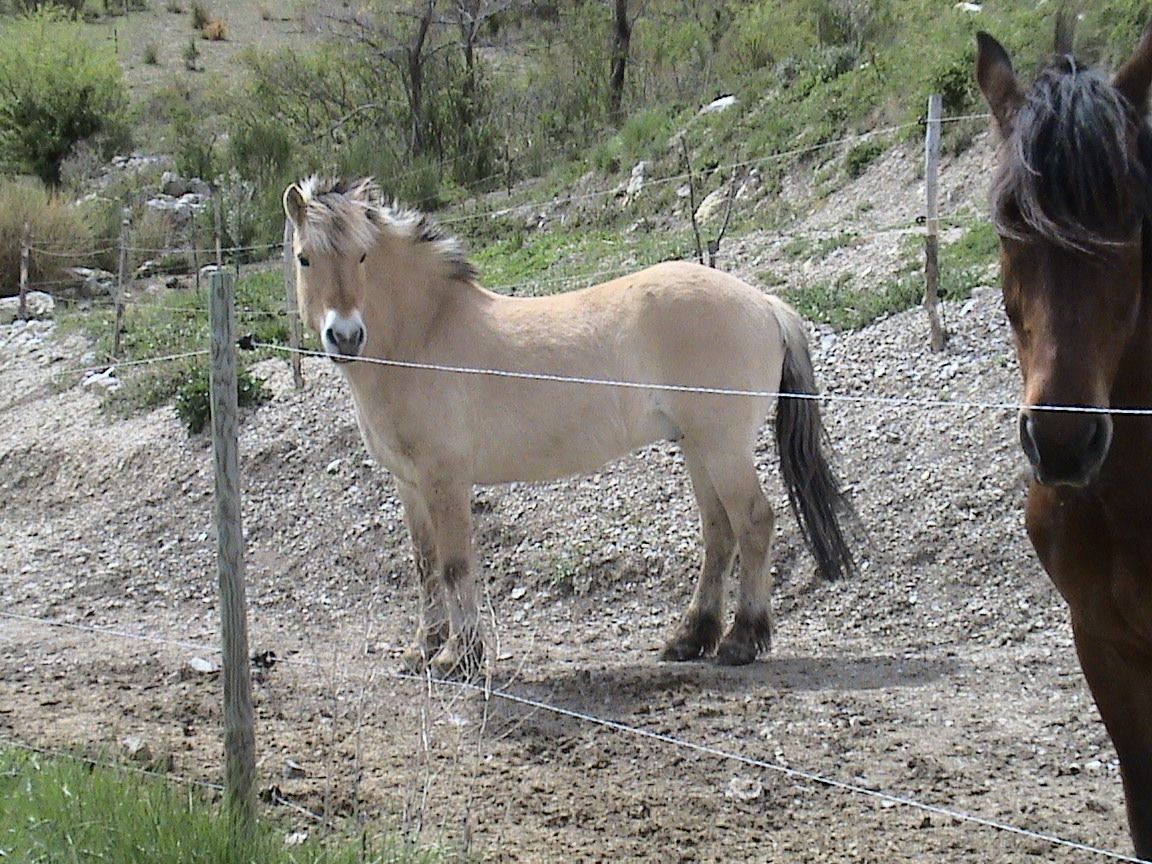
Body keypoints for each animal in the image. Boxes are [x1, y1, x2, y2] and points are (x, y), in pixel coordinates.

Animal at [282, 176, 856, 678]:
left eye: (362, 257)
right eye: (305, 258)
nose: (345, 337)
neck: (424, 337)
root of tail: (765, 303)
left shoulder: (446, 480)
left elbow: (454, 565)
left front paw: (458, 658)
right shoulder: (408, 483)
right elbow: (424, 564)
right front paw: (422, 650)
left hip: (723, 447)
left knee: (754, 522)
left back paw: (741, 640)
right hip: (698, 447)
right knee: (719, 532)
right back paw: (690, 638)